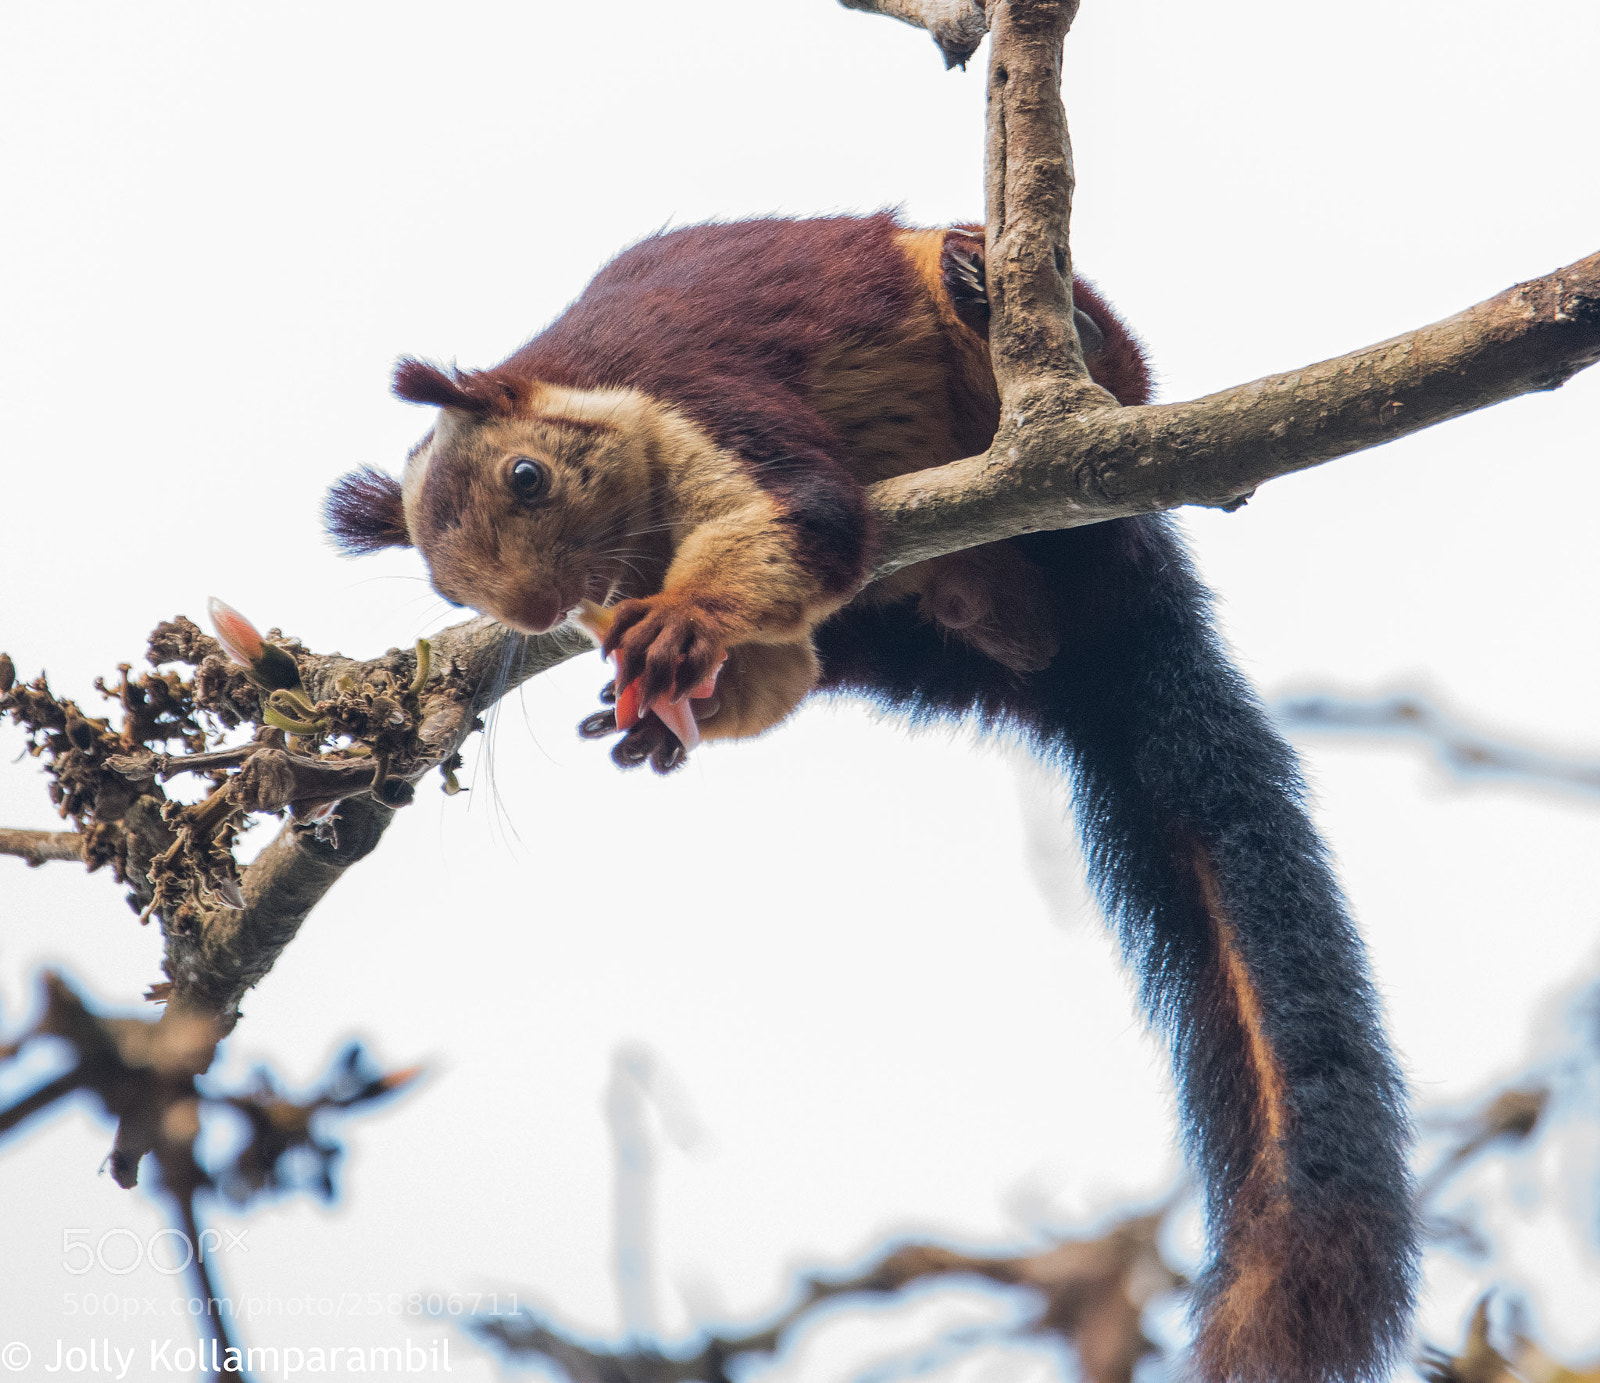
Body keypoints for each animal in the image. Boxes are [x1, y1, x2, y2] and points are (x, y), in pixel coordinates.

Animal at [325, 213, 1416, 1383]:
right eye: (444, 585)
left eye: (526, 477)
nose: (538, 611)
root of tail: (1100, 634)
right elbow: (778, 652)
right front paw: (661, 698)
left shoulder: (707, 400)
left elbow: (804, 517)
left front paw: (687, 623)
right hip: (912, 637)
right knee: (902, 641)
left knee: (1104, 373)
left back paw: (1008, 303)